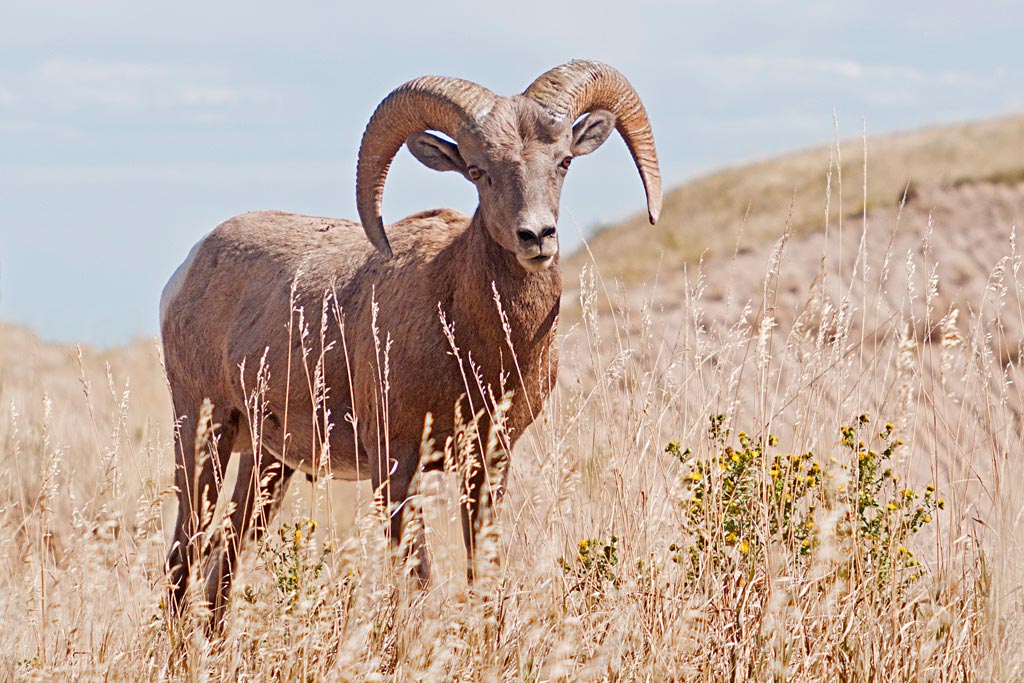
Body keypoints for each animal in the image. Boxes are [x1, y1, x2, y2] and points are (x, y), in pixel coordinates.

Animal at [157, 60, 655, 626]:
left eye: (564, 161)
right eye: (478, 170)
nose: (536, 237)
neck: (471, 342)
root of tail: (186, 271)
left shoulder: (488, 464)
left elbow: (482, 576)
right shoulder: (395, 465)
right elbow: (417, 582)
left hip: (267, 465)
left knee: (223, 560)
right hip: (203, 439)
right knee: (182, 558)